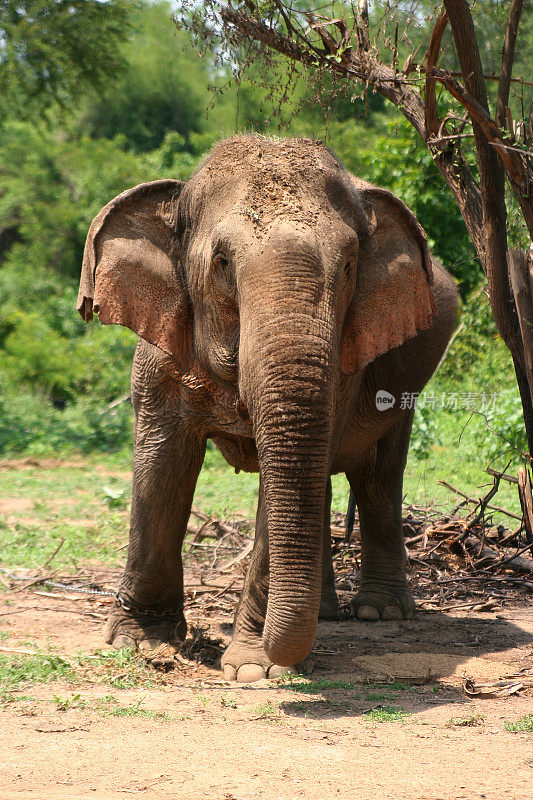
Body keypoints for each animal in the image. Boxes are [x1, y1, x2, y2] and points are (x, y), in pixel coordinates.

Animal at [77, 136, 456, 680]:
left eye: (349, 265)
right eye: (221, 262)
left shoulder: (346, 361)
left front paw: (254, 669)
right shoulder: (160, 345)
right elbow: (162, 464)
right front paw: (140, 643)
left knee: (377, 475)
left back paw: (377, 612)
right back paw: (326, 614)